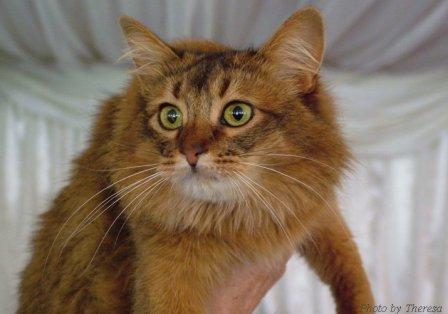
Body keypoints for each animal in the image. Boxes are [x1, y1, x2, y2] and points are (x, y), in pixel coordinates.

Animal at [18, 7, 374, 314]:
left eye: (237, 113)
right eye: (171, 116)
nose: (190, 153)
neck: (233, 220)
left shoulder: (314, 207)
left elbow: (352, 267)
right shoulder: (162, 281)